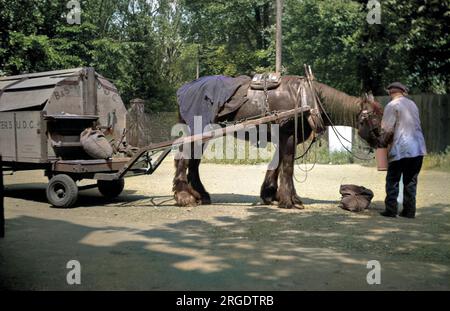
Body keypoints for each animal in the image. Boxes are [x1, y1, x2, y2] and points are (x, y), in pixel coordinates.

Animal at [172, 76, 384, 210]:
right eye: (374, 118)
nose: (384, 139)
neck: (306, 98)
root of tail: (183, 89)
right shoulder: (288, 135)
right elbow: (288, 166)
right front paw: (289, 200)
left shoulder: (285, 138)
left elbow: (278, 163)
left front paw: (271, 194)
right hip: (196, 131)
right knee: (183, 159)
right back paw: (184, 197)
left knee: (194, 163)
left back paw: (200, 195)